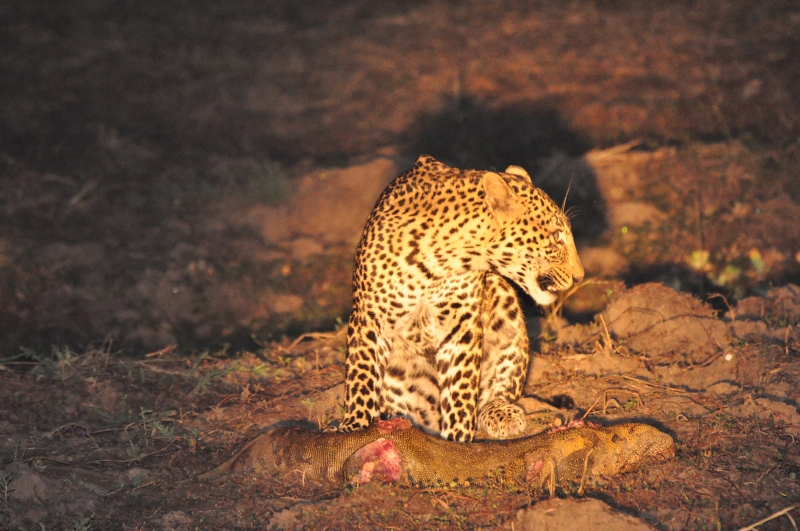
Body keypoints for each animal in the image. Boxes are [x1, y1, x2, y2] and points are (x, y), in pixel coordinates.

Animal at [336, 155, 584, 442]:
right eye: (556, 237)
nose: (579, 276)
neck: (440, 262)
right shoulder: (369, 316)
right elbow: (360, 378)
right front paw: (354, 429)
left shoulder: (461, 323)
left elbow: (460, 390)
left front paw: (457, 440)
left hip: (502, 295)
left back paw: (502, 413)